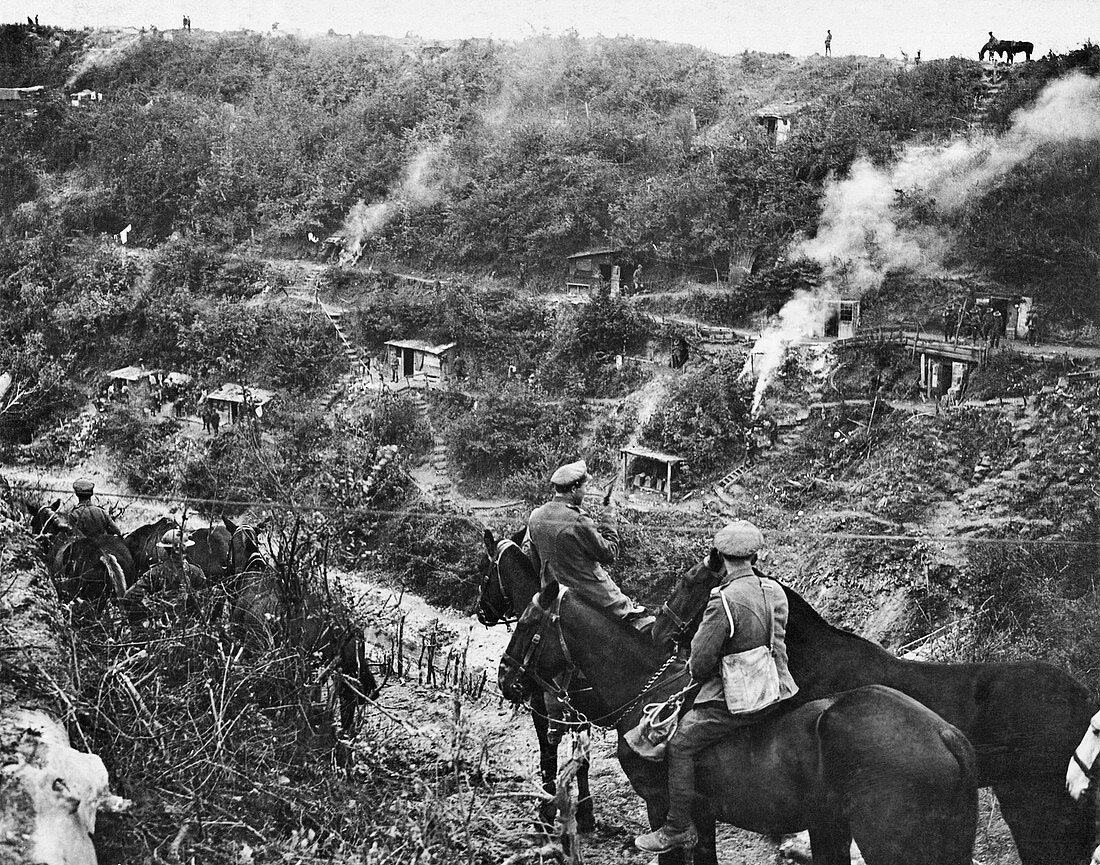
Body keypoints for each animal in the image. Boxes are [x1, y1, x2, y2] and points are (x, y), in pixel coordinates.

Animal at [475, 526, 611, 827]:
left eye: (483, 570)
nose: (481, 612)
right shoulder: (578, 716)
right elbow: (581, 763)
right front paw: (585, 812)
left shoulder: (541, 708)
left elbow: (548, 758)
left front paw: (547, 810)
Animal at [501, 581, 981, 862]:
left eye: (527, 623)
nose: (506, 678)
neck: (647, 689)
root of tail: (944, 734)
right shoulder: (704, 816)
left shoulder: (662, 807)